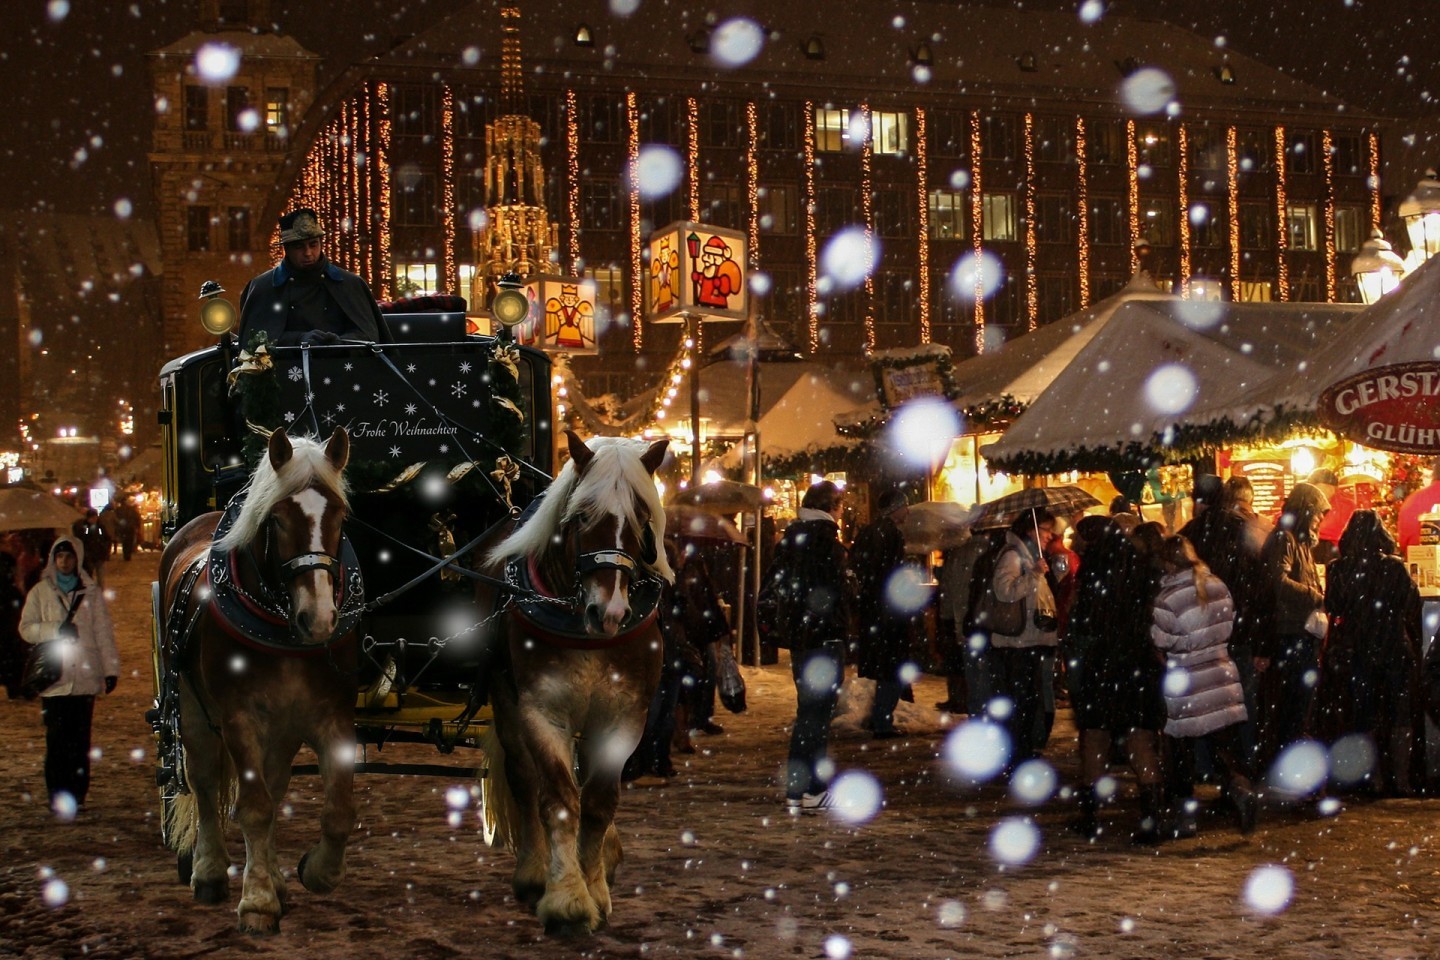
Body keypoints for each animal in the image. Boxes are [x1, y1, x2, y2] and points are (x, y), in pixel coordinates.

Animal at [155, 428, 360, 938]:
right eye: (279, 519)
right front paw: (258, 901)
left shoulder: (333, 716)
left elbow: (337, 811)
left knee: (274, 784)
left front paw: (314, 872)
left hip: (282, 729)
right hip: (190, 709)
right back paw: (210, 872)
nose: (319, 619)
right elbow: (252, 806)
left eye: (339, 515)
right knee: (205, 782)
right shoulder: (239, 720)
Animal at [478, 431, 668, 932]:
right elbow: (560, 799)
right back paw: (532, 873)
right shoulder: (543, 712)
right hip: (505, 698)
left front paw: (595, 885)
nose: (611, 613)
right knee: (524, 777)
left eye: (642, 519)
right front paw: (566, 896)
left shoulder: (625, 716)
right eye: (582, 516)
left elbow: (599, 801)